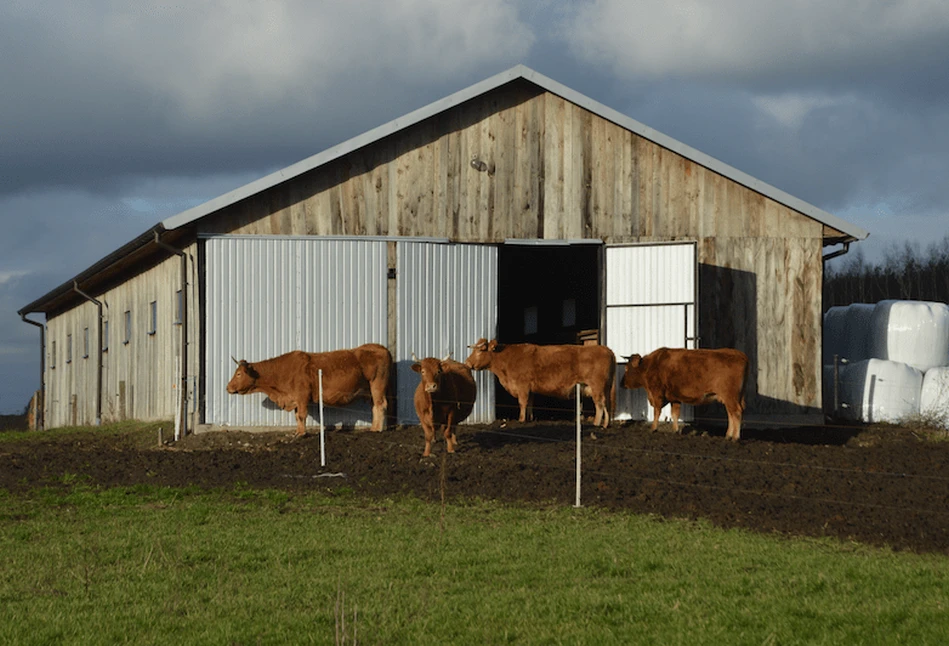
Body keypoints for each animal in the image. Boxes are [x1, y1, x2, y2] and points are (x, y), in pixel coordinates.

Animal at [226, 342, 392, 438]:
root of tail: (380, 347)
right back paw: (373, 427)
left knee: (381, 405)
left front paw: (302, 434)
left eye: (239, 374)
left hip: (377, 384)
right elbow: (297, 416)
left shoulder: (302, 397)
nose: (228, 387)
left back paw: (377, 430)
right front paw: (298, 432)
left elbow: (301, 415)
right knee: (375, 406)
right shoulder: (295, 399)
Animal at [464, 340, 616, 430]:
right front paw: (530, 418)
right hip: (605, 388)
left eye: (479, 351)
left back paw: (597, 423)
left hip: (597, 386)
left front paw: (521, 420)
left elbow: (522, 403)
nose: (467, 363)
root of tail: (607, 350)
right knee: (606, 404)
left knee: (600, 404)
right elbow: (530, 403)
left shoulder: (522, 386)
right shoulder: (530, 389)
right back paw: (605, 424)